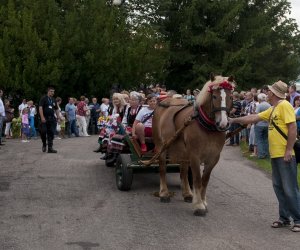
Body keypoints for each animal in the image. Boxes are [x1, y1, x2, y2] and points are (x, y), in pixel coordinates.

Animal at [152, 73, 234, 215]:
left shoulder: (213, 157)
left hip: (184, 152)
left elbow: (205, 180)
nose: (223, 123)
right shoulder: (195, 156)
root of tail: (163, 102)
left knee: (183, 171)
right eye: (214, 96)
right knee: (162, 168)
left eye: (230, 97)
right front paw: (199, 205)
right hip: (160, 146)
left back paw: (187, 194)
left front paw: (203, 201)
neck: (207, 127)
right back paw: (164, 193)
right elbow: (197, 180)